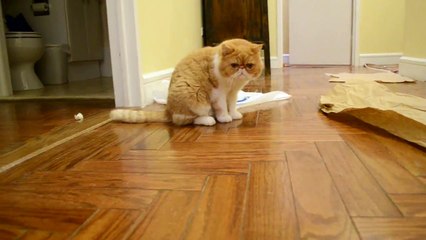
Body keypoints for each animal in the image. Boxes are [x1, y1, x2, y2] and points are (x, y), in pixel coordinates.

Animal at [110, 38, 262, 125]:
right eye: (234, 65)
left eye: (249, 65)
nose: (241, 69)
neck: (232, 83)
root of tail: (168, 110)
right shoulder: (218, 94)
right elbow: (223, 107)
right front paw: (225, 117)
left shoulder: (232, 93)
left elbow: (232, 105)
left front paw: (234, 114)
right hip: (196, 97)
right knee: (184, 119)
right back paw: (208, 120)